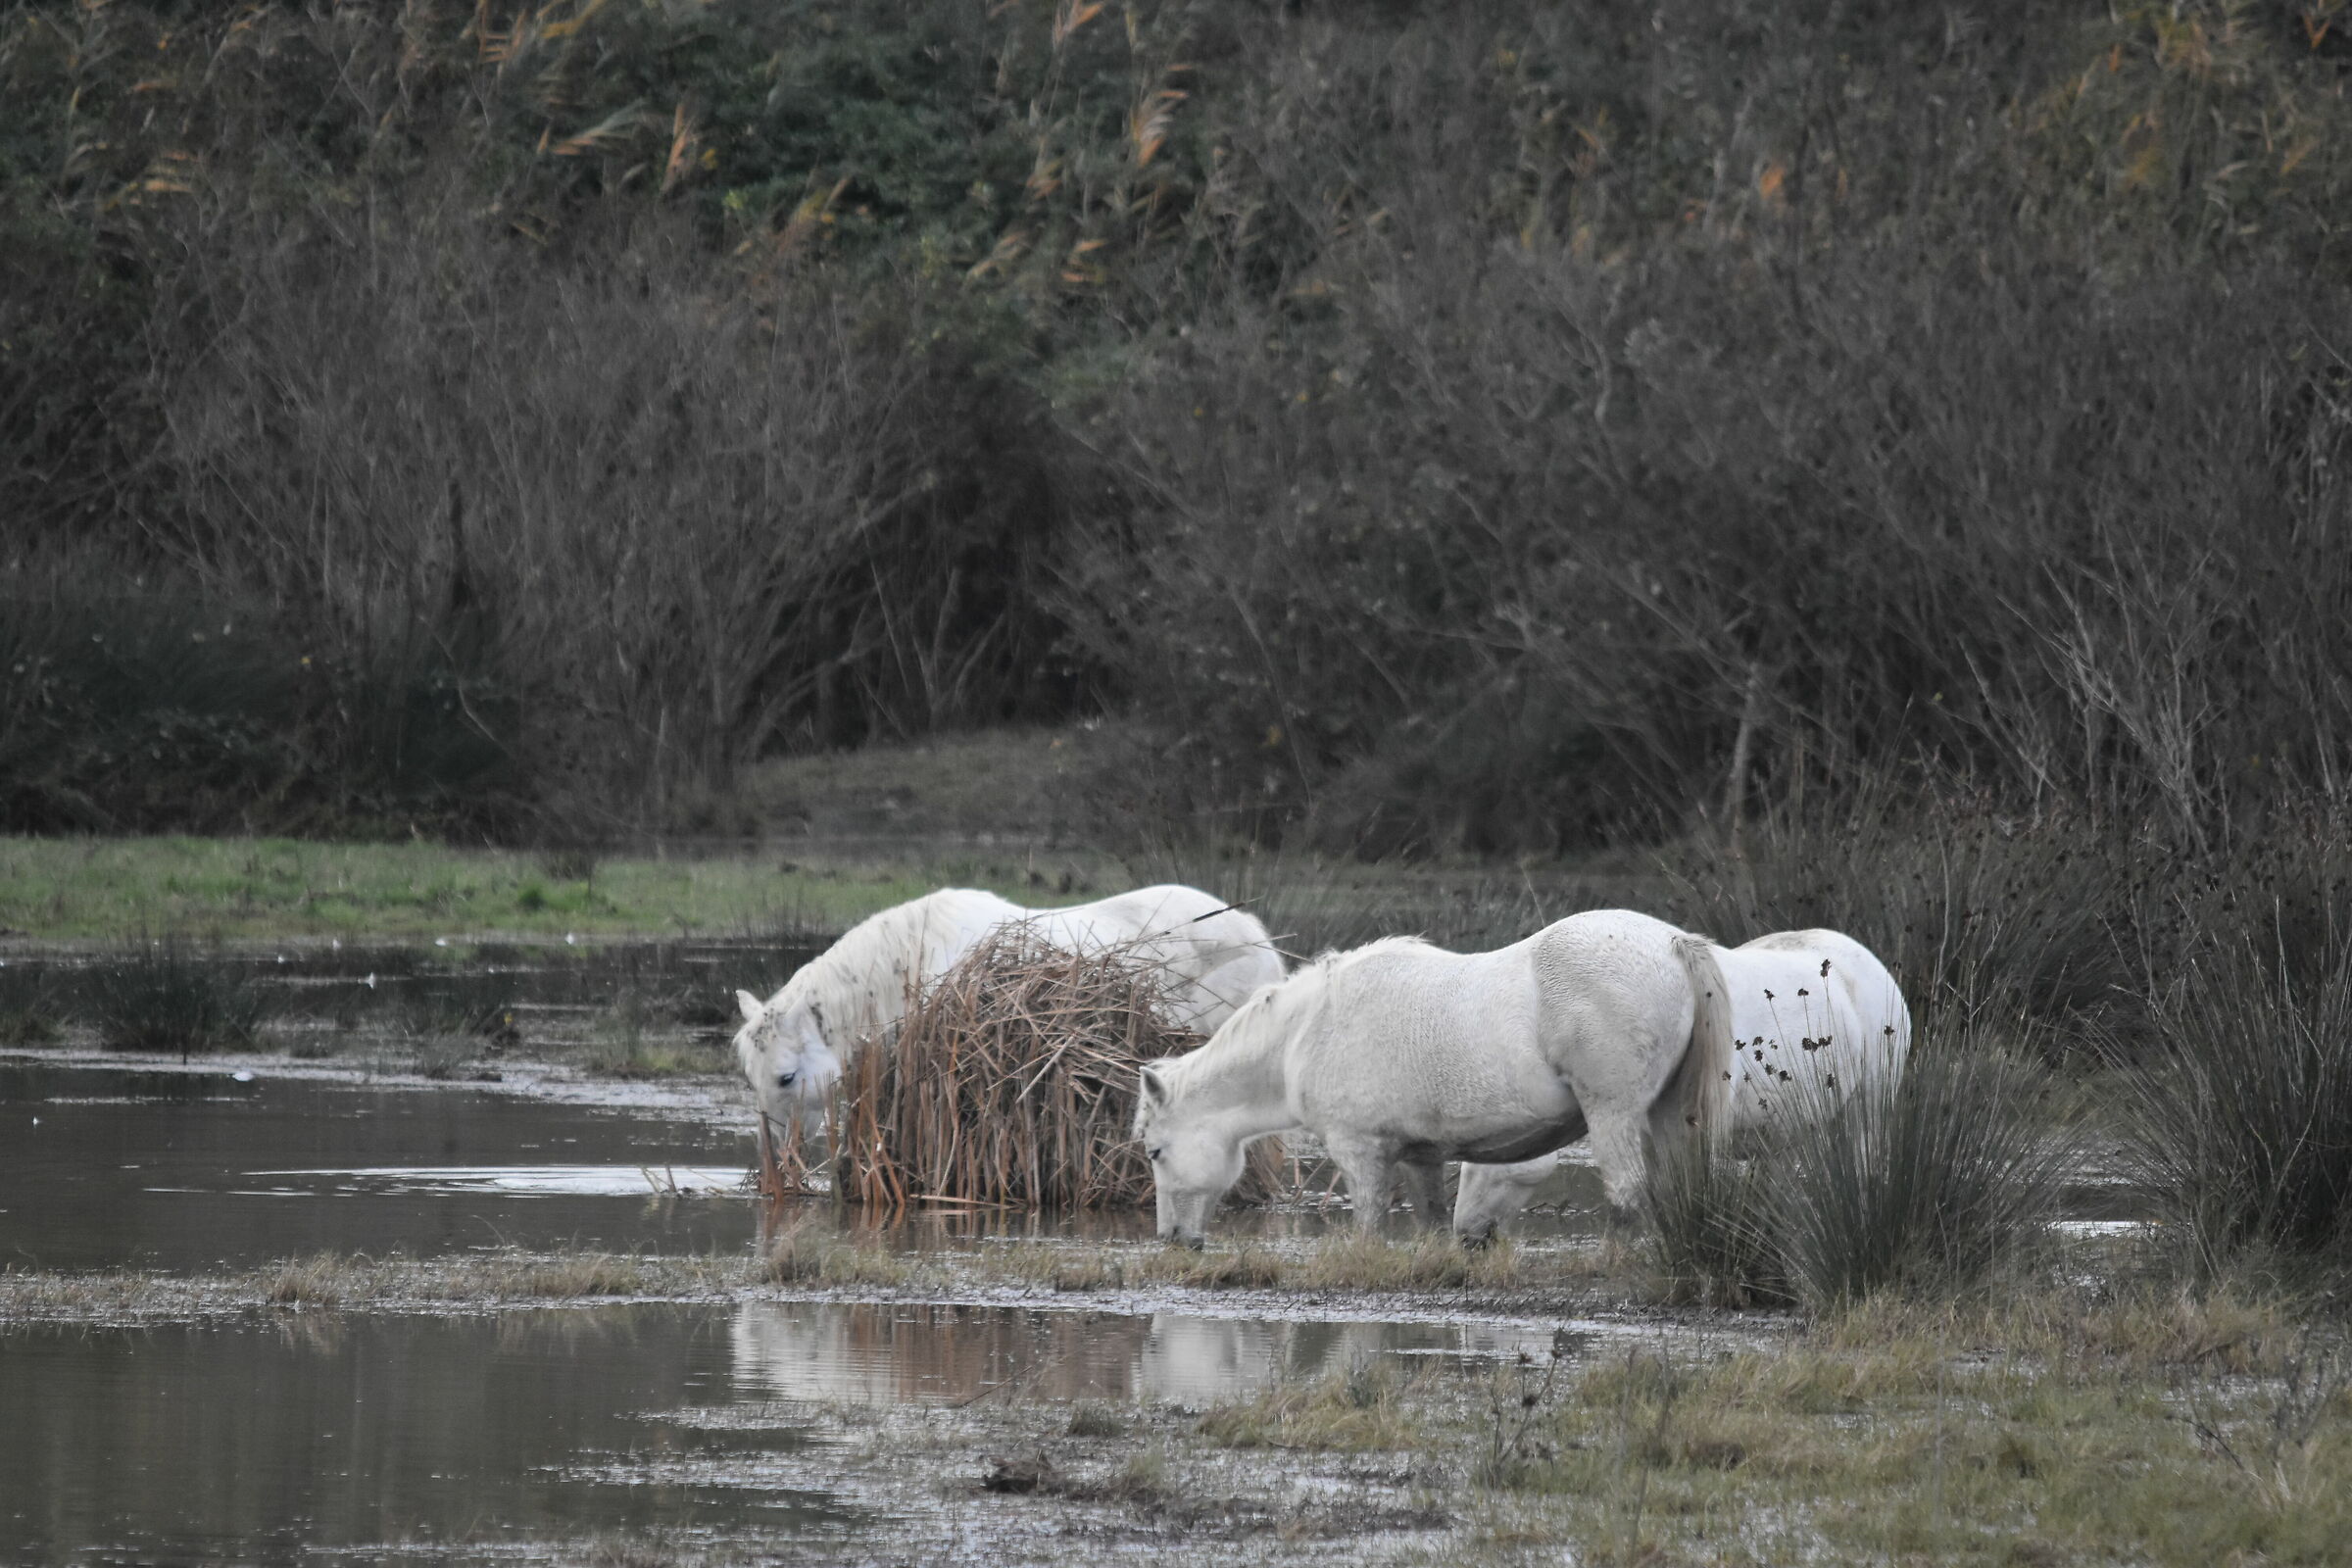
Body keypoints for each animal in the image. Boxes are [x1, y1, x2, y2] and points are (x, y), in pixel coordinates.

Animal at [1132, 908, 1737, 1245]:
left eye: (1155, 1153)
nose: (1173, 1239)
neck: (1307, 1030)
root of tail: (1673, 943)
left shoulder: (1359, 1152)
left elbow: (1370, 1228)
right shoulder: (1421, 1156)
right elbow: (1430, 1223)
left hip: (1613, 1114)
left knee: (1627, 1196)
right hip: (1669, 1114)